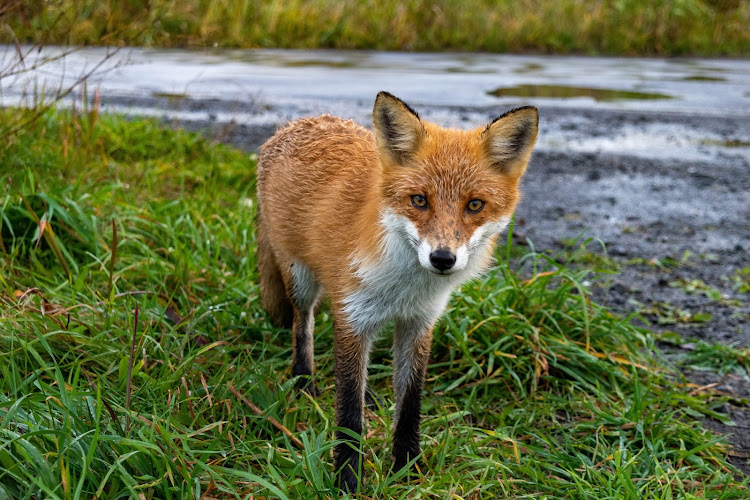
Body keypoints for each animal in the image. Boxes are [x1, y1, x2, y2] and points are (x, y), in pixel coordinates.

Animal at [258, 92, 540, 490]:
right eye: (419, 200)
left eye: (475, 205)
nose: (442, 258)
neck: (404, 288)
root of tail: (299, 122)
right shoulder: (353, 317)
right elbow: (349, 412)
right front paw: (347, 480)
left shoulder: (418, 323)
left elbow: (409, 403)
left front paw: (409, 468)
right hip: (300, 279)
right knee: (303, 325)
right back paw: (303, 382)